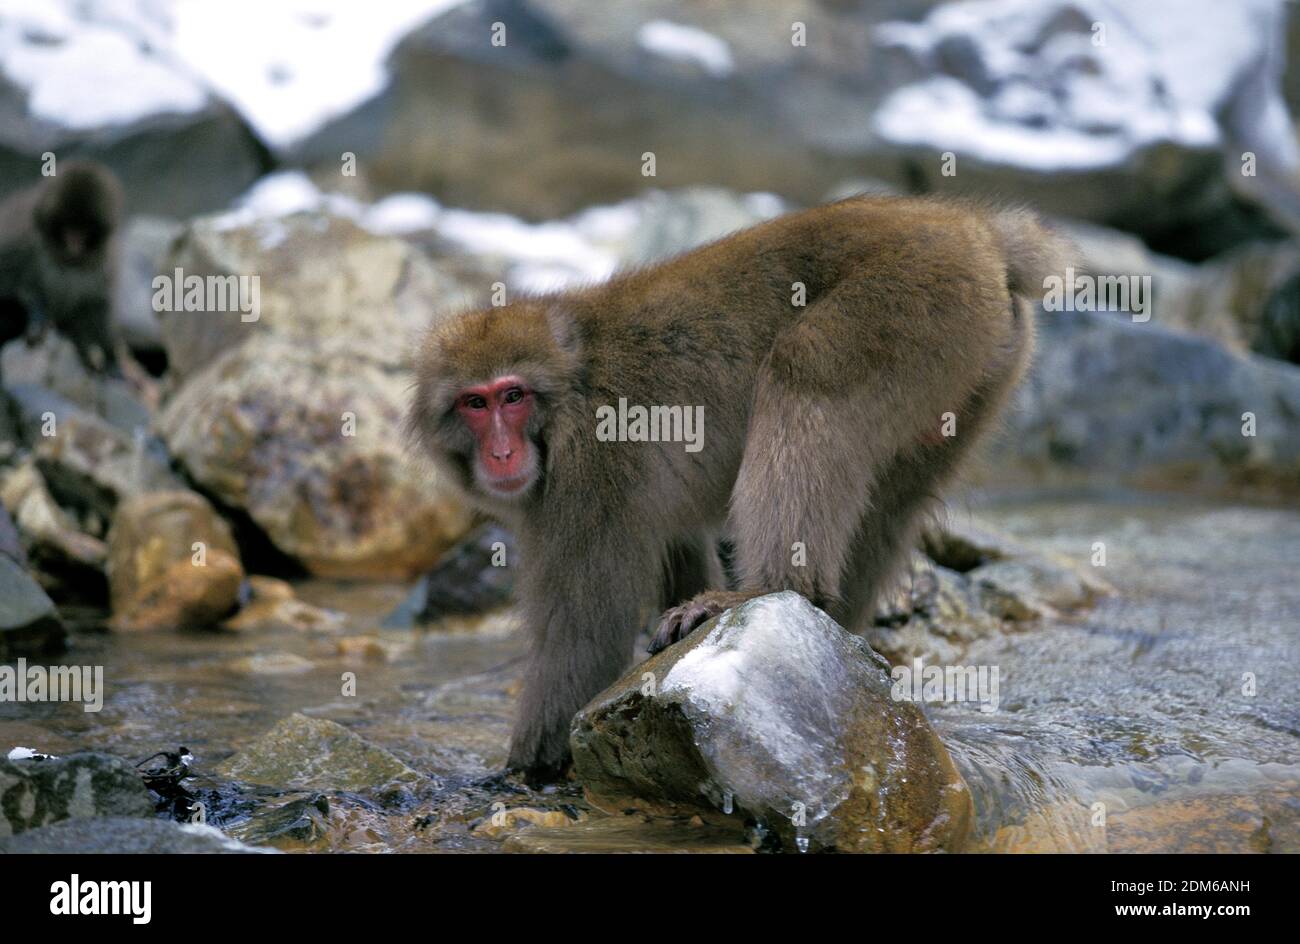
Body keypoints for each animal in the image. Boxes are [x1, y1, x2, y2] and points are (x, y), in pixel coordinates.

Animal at [0, 161, 124, 376]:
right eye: (68, 226)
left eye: (84, 229)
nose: (74, 240)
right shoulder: (21, 240)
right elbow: (12, 283)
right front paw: (37, 314)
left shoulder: (104, 264)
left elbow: (95, 304)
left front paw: (92, 350)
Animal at [408, 195, 1068, 780]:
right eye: (474, 403)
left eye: (513, 396)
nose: (501, 452)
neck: (571, 391)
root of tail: (979, 234)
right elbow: (675, 544)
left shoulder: (587, 479)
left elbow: (582, 638)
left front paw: (524, 769)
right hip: (978, 366)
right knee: (892, 500)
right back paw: (836, 621)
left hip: (913, 301)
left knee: (807, 370)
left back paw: (773, 588)